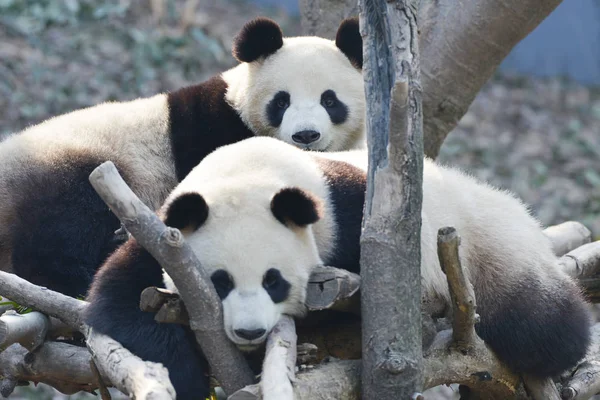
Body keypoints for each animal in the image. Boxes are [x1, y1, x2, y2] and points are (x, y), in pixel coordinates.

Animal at [0, 14, 366, 296]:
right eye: (281, 101)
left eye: (329, 100)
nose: (305, 135)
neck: (236, 108)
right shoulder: (215, 132)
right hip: (67, 169)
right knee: (62, 231)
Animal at [84, 137, 592, 396]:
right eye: (220, 282)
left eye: (274, 281)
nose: (249, 332)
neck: (251, 170)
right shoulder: (165, 234)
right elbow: (117, 302)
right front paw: (185, 374)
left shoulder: (351, 220)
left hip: (493, 251)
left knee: (542, 327)